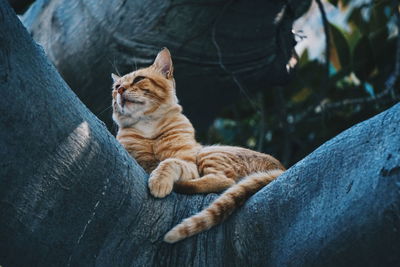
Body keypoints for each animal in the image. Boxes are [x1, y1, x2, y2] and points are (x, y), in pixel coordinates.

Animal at [109, 48, 284, 245]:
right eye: (116, 87)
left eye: (139, 79)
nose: (120, 90)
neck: (148, 128)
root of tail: (282, 168)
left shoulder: (188, 163)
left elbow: (169, 163)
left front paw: (159, 180)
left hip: (209, 153)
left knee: (225, 181)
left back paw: (179, 185)